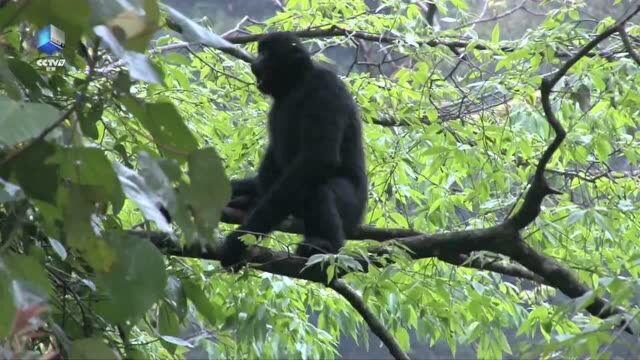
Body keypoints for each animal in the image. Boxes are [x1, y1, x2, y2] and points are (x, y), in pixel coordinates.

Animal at [220, 32, 368, 268]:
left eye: (265, 53)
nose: (254, 63)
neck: (296, 86)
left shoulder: (325, 86)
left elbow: (318, 159)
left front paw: (239, 240)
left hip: (352, 206)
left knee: (317, 185)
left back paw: (326, 247)